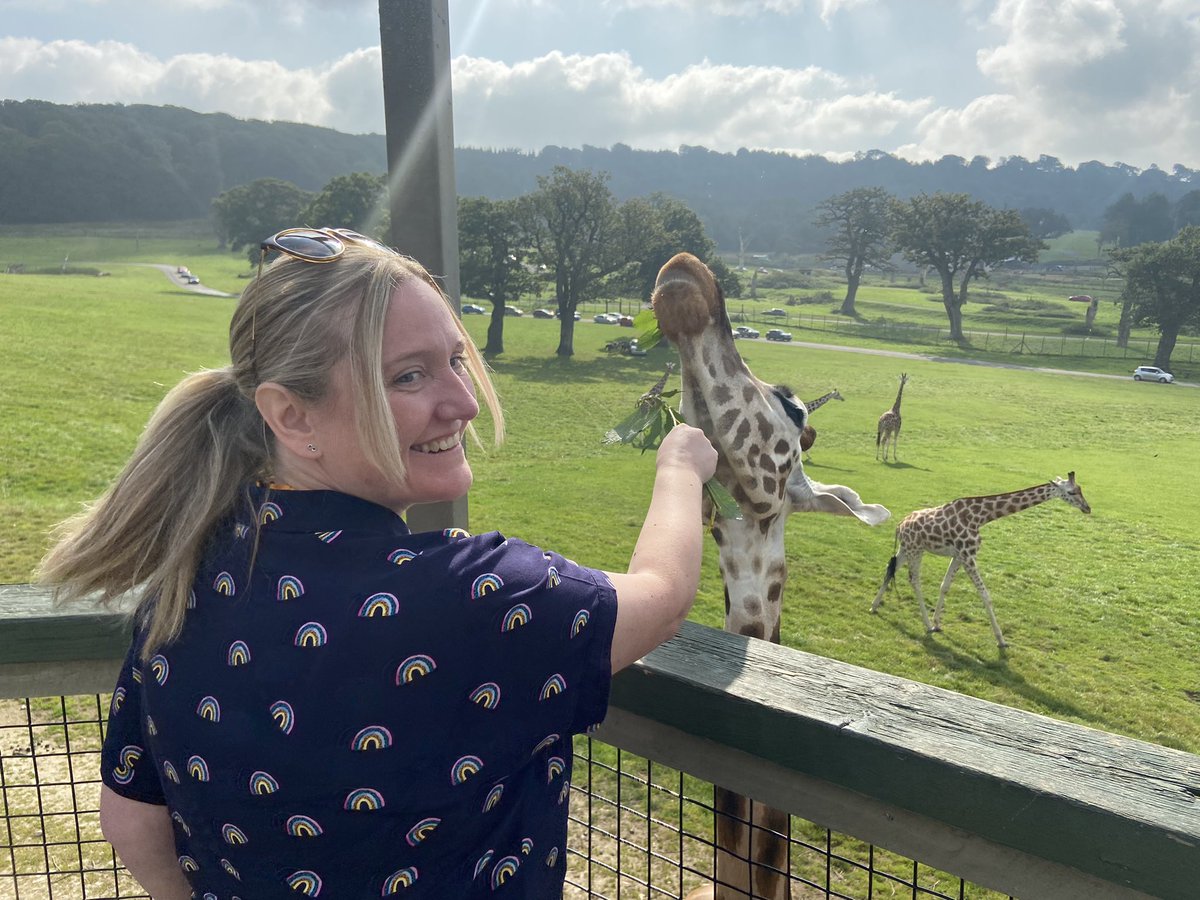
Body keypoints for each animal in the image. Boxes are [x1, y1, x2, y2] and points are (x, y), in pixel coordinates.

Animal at [871, 472, 1091, 648]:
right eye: (1071, 492)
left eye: (1080, 489)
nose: (1087, 508)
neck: (981, 517)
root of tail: (899, 525)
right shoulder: (968, 555)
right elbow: (985, 595)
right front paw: (1001, 640)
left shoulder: (959, 555)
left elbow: (945, 586)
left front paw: (938, 623)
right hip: (916, 550)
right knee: (914, 579)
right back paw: (925, 625)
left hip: (906, 548)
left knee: (890, 568)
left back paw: (874, 606)